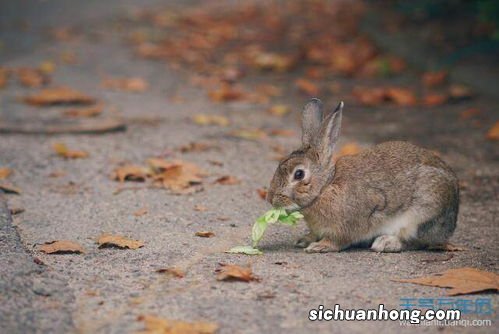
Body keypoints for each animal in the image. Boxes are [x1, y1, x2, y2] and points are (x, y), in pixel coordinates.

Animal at [268, 99, 458, 253]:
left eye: (299, 174)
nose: (271, 199)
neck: (326, 187)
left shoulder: (348, 224)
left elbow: (339, 240)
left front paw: (320, 246)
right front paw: (304, 240)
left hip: (423, 214)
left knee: (417, 241)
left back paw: (386, 243)